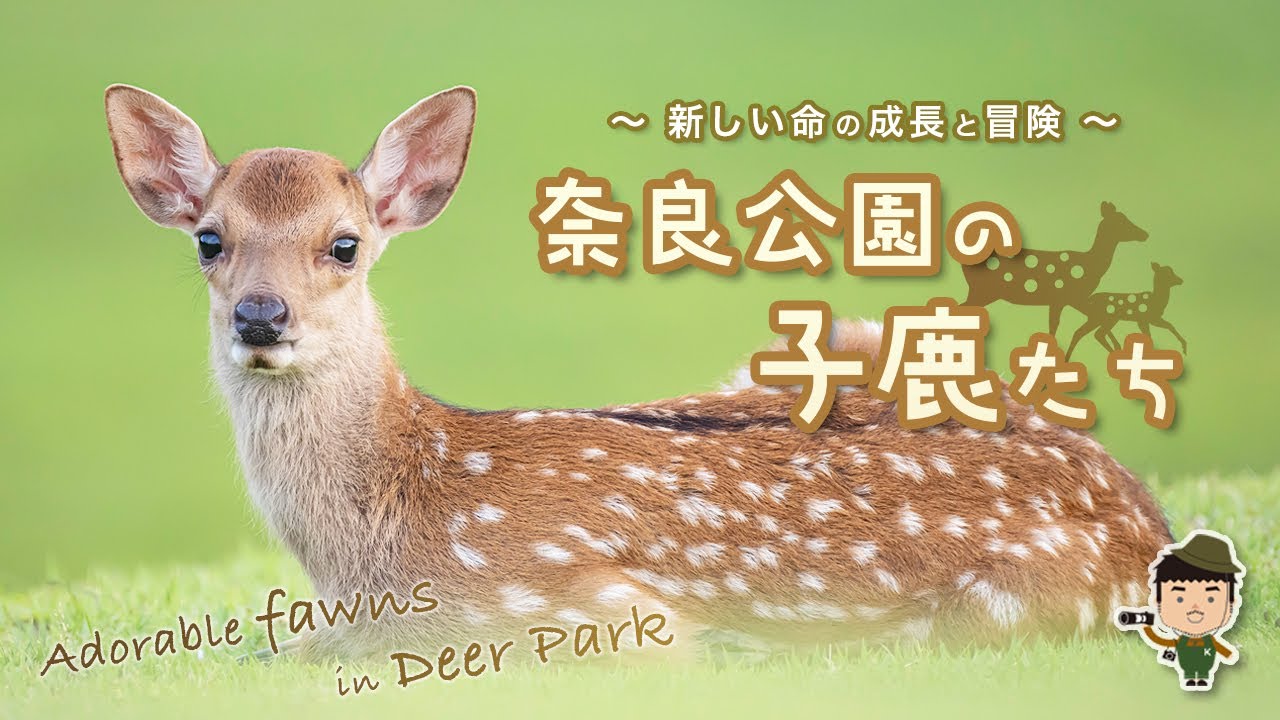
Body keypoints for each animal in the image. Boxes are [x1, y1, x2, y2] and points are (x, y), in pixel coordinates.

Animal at [962, 202, 1149, 338]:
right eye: (1121, 221)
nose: (1145, 234)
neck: (1091, 265)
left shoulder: (1064, 300)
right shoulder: (1067, 297)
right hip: (983, 291)